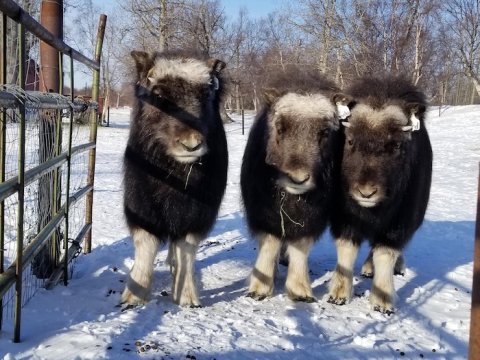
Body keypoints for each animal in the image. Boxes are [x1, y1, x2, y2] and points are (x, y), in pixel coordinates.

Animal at [123, 50, 230, 306]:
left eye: (206, 94)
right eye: (159, 95)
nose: (191, 144)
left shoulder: (197, 213)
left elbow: (186, 249)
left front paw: (187, 297)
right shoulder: (140, 205)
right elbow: (146, 245)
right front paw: (134, 295)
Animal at [240, 76, 348, 304]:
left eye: (324, 132)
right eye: (280, 128)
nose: (298, 178)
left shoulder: (310, 218)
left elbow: (299, 247)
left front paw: (300, 291)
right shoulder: (264, 214)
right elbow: (269, 244)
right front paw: (259, 289)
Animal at [328, 76, 434, 312]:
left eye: (395, 145)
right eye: (350, 140)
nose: (366, 192)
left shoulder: (399, 221)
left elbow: (386, 253)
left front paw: (383, 301)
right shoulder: (344, 215)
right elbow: (346, 249)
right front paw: (338, 295)